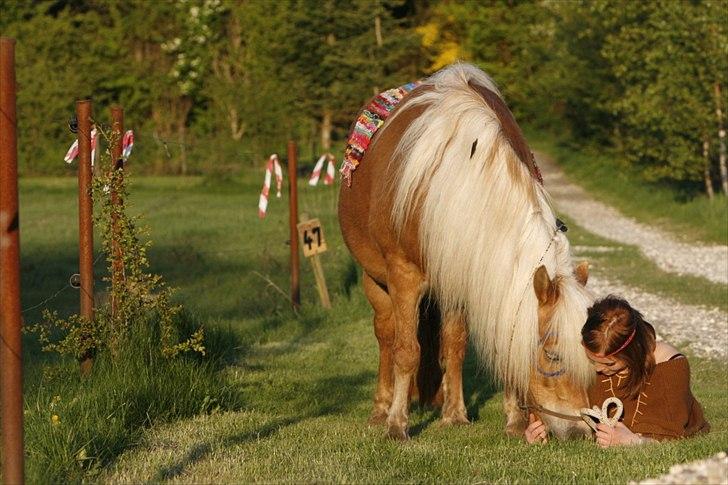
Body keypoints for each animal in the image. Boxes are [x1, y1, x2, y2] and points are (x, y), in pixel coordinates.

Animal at [338, 63, 596, 438]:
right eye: (553, 356)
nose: (579, 432)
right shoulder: (404, 276)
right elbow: (406, 351)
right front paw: (397, 425)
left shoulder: (461, 273)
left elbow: (456, 344)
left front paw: (464, 415)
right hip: (376, 280)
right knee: (386, 336)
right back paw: (381, 409)